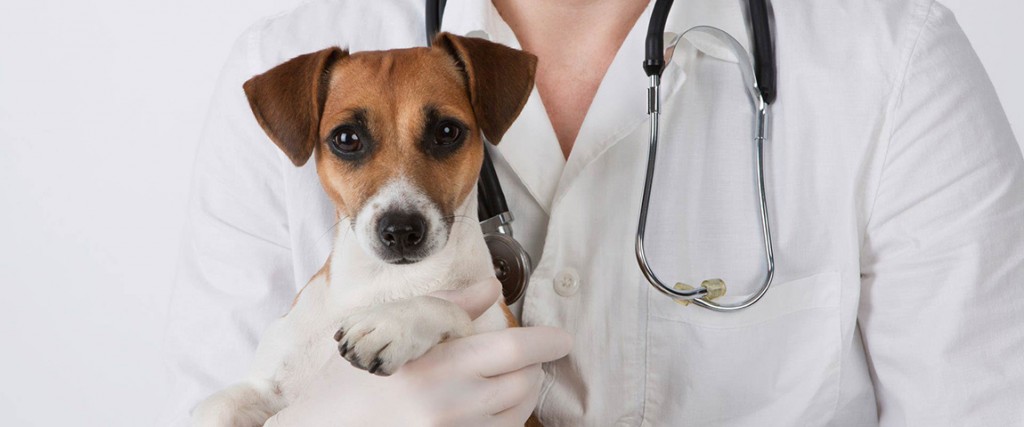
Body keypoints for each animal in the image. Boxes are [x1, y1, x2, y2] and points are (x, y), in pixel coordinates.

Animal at [194, 34, 540, 425]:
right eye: (347, 138)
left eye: (447, 131)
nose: (401, 230)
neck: (385, 283)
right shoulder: (264, 385)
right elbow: (218, 405)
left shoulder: (501, 345)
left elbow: (454, 310)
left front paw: (396, 322)